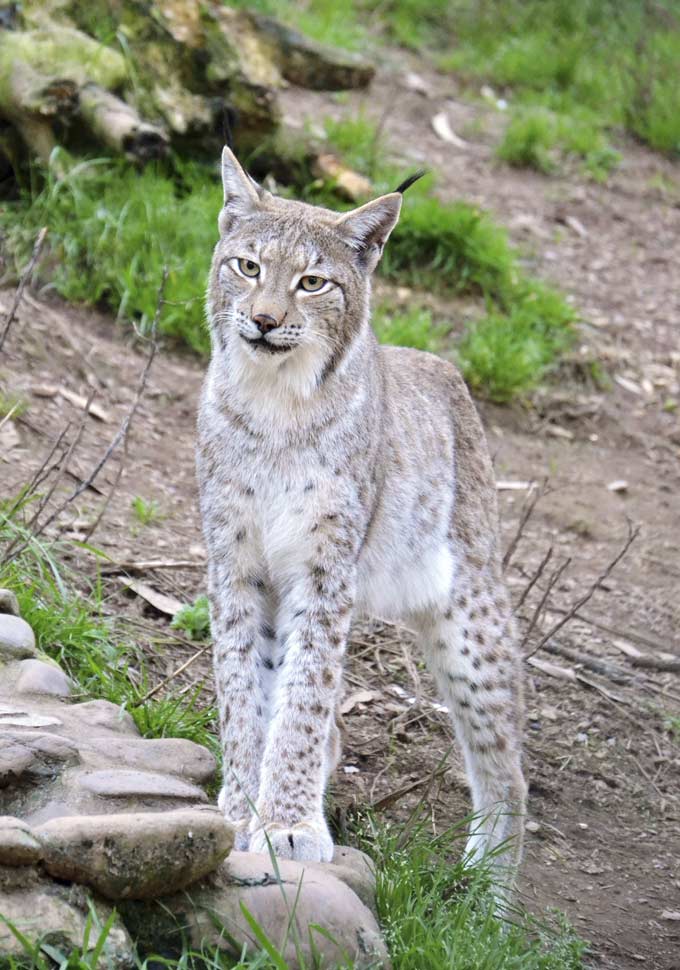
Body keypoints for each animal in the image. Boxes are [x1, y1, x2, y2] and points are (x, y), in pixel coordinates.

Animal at [196, 146, 526, 890]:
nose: (263, 321)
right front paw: (239, 812)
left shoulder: (325, 570)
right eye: (247, 266)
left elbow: (304, 697)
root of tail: (439, 365)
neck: (275, 401)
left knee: (507, 765)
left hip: (471, 617)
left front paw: (287, 825)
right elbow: (242, 693)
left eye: (313, 282)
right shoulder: (235, 563)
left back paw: (486, 897)